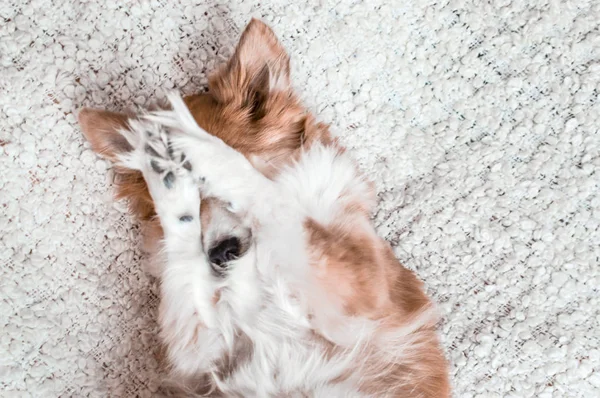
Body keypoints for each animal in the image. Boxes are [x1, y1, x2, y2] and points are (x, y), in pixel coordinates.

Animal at [78, 18, 450, 398]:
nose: (221, 254)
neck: (257, 261)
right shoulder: (199, 349)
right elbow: (183, 251)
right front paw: (165, 172)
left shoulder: (361, 299)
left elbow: (277, 201)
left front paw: (206, 151)